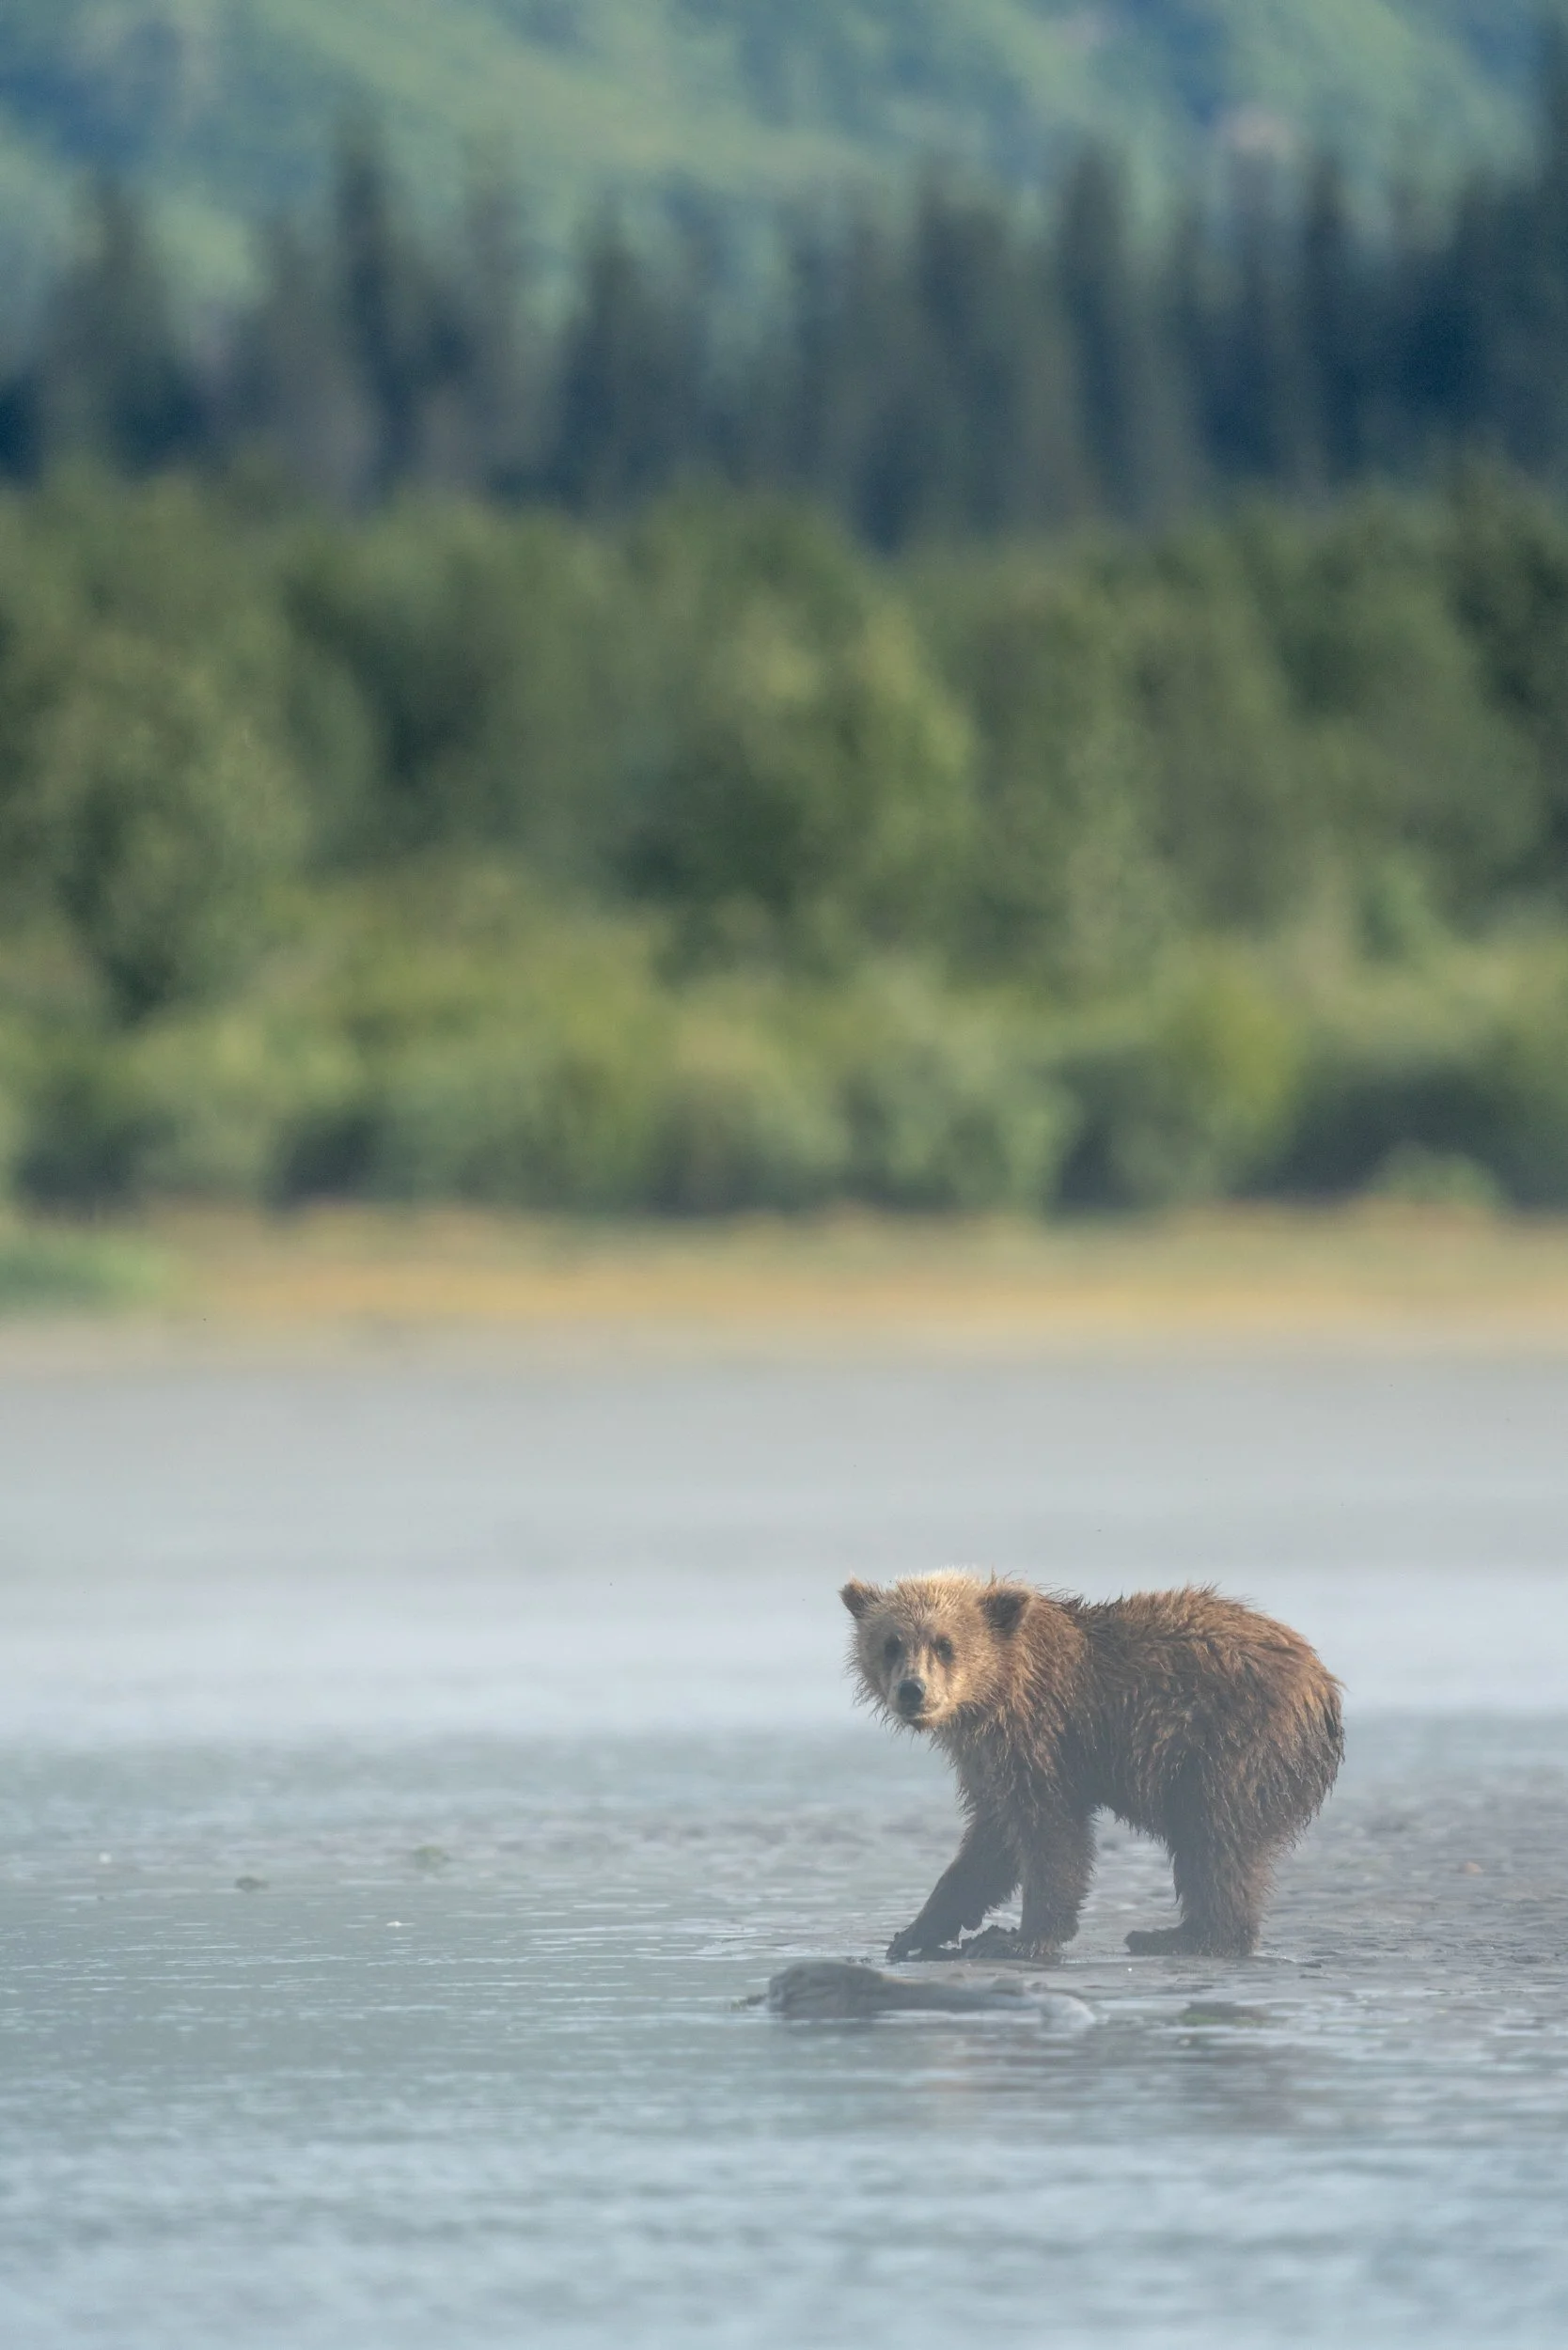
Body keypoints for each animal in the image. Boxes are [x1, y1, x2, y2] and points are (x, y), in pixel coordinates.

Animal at [841, 1573, 1342, 1963]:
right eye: (891, 1644)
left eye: (945, 1644)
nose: (913, 1690)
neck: (997, 1692)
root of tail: (1324, 1686)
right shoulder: (988, 1761)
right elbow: (991, 1842)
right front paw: (916, 1932)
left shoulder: (1045, 1738)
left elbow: (1051, 1835)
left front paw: (1018, 1939)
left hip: (1232, 1743)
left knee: (1214, 1836)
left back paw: (1187, 1936)